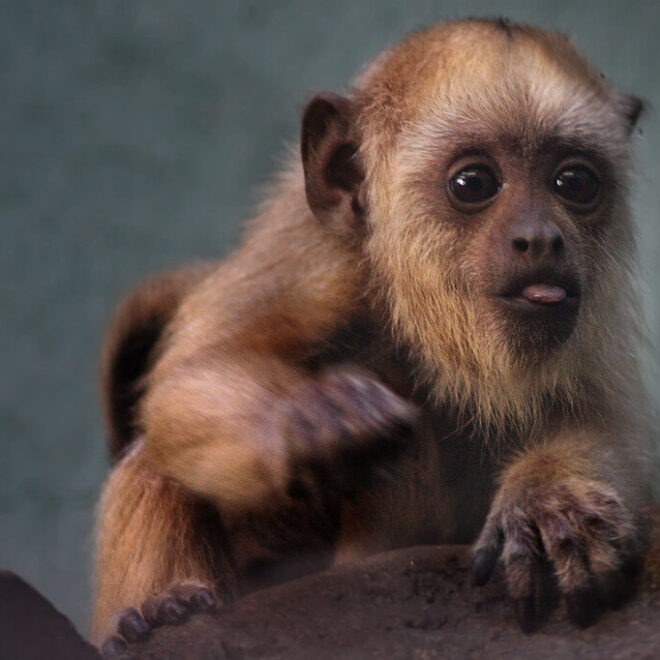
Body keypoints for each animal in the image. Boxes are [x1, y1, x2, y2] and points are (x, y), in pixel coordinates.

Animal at [93, 18, 655, 654]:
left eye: (574, 182)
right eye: (473, 182)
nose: (540, 237)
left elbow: (613, 420)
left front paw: (549, 499)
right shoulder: (308, 250)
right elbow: (194, 374)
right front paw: (309, 419)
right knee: (156, 453)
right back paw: (165, 613)